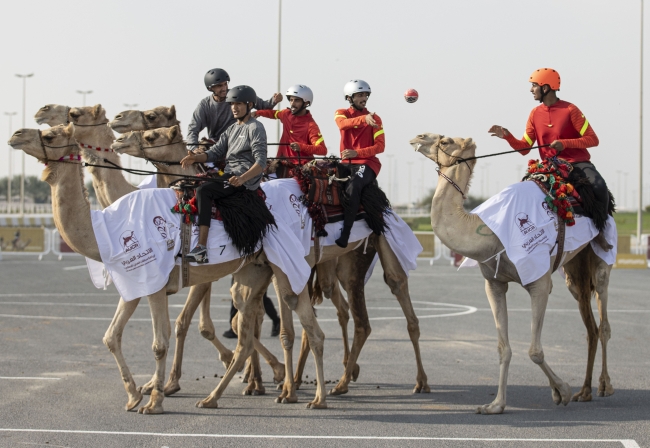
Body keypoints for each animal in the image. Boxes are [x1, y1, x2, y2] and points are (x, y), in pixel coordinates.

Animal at [7, 124, 326, 412]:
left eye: (50, 135)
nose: (15, 135)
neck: (106, 230)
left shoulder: (157, 284)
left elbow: (160, 342)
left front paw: (154, 401)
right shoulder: (134, 284)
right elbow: (111, 337)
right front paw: (134, 395)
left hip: (289, 264)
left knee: (308, 325)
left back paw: (313, 396)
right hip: (255, 269)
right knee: (247, 332)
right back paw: (215, 397)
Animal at [117, 126, 432, 402]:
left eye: (151, 134)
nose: (119, 140)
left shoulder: (261, 266)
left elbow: (240, 322)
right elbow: (244, 319)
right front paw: (258, 380)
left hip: (365, 252)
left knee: (384, 303)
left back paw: (396, 381)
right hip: (332, 266)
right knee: (342, 309)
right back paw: (338, 374)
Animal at [410, 133, 612, 412]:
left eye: (446, 140)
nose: (418, 137)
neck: (488, 231)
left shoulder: (539, 281)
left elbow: (535, 350)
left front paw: (562, 390)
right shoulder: (494, 283)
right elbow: (503, 348)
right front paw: (495, 405)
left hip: (601, 260)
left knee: (603, 322)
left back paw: (604, 387)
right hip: (575, 270)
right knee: (590, 325)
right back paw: (585, 391)